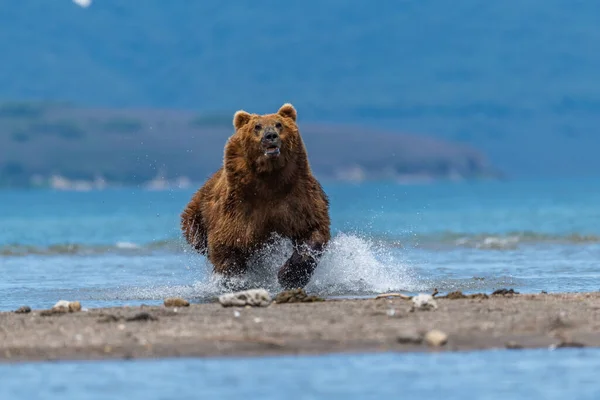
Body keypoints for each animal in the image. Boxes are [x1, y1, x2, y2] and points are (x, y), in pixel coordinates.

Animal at [182, 103, 332, 290]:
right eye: (257, 126)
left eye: (279, 124)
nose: (270, 136)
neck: (269, 181)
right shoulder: (239, 206)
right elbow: (226, 241)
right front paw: (233, 279)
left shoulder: (298, 197)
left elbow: (313, 230)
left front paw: (289, 276)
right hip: (197, 213)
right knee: (197, 238)